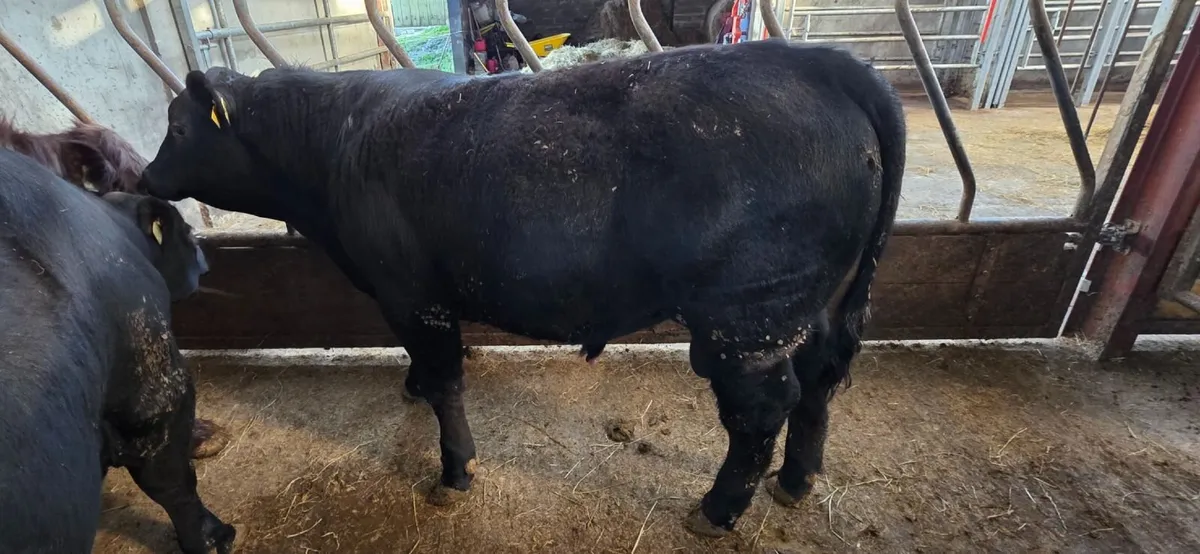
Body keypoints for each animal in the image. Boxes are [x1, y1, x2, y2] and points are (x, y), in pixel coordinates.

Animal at [138, 39, 905, 536]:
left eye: (176, 126)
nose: (144, 176)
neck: (338, 143)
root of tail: (820, 62)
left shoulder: (412, 295)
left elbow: (446, 381)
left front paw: (454, 473)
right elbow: (428, 371)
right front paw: (413, 392)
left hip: (745, 320)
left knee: (762, 408)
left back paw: (717, 511)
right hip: (816, 304)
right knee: (821, 377)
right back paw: (796, 482)